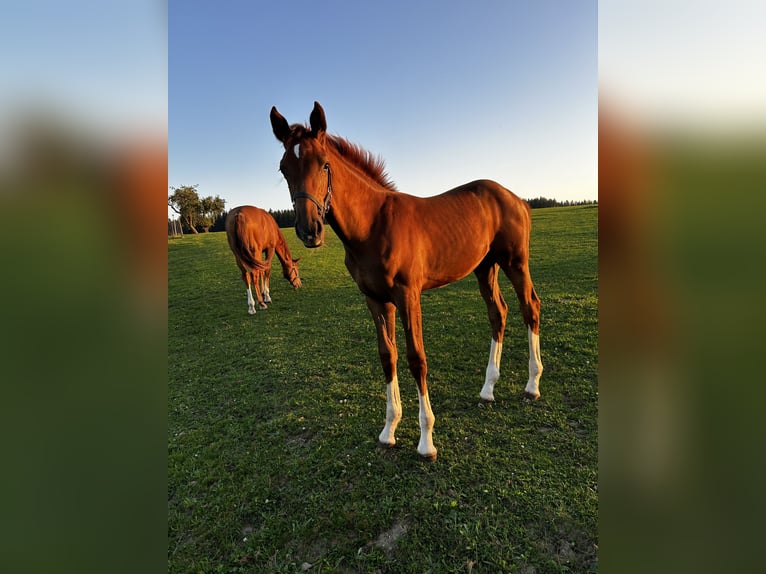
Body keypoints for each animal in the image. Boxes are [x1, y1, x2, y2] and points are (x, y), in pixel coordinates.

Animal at [270, 102, 542, 461]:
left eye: (324, 163)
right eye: (284, 168)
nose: (309, 230)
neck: (373, 226)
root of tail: (517, 198)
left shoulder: (407, 295)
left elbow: (417, 359)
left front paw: (426, 441)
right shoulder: (375, 299)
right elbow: (388, 356)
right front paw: (389, 430)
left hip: (515, 263)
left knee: (530, 308)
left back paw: (532, 385)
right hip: (485, 268)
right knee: (498, 314)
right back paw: (487, 389)